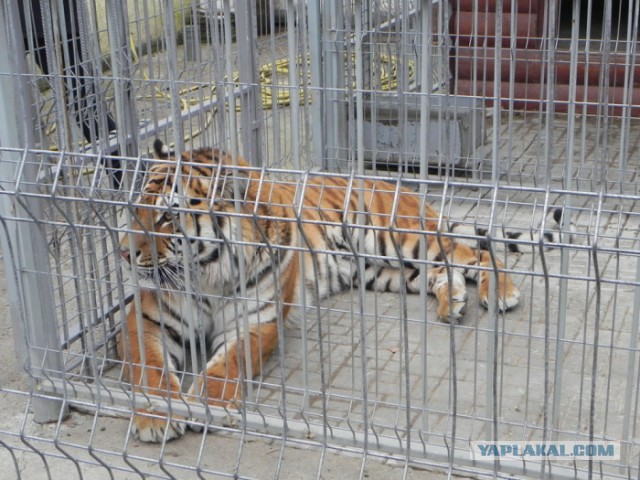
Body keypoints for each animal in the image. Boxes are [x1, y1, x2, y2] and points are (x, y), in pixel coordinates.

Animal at [117, 139, 568, 442]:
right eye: (136, 207)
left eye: (167, 217)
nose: (123, 253)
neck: (209, 272)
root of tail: (401, 187)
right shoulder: (147, 318)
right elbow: (149, 368)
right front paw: (156, 415)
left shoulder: (257, 322)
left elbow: (228, 364)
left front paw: (207, 405)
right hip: (388, 271)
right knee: (446, 271)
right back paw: (452, 303)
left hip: (402, 238)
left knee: (474, 252)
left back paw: (502, 292)